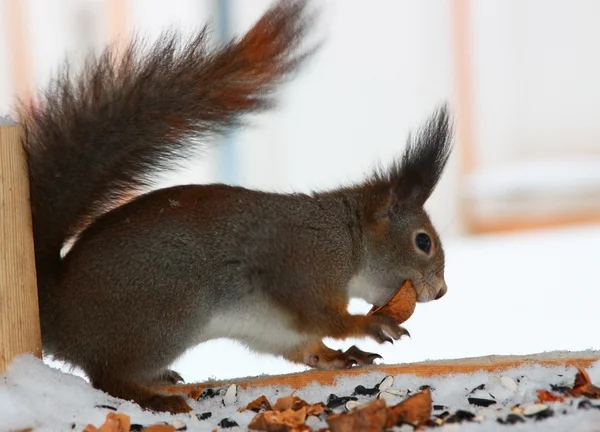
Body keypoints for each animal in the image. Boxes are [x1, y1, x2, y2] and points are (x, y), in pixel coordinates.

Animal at [16, 0, 452, 416]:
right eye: (423, 242)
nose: (442, 292)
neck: (348, 238)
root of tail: (57, 311)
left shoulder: (276, 326)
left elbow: (305, 345)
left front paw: (341, 356)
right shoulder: (302, 268)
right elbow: (325, 317)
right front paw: (370, 323)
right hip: (166, 313)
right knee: (106, 377)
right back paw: (156, 399)